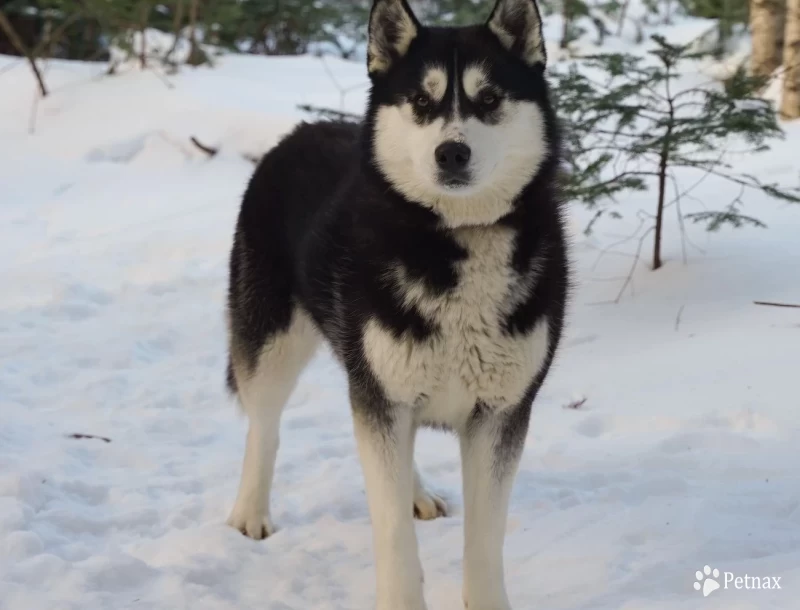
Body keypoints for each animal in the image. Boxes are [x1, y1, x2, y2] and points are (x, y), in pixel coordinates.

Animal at [225, 1, 568, 604]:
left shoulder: (499, 412)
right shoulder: (382, 393)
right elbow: (392, 536)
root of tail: (299, 131)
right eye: (422, 102)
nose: (451, 151)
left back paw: (417, 491)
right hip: (274, 342)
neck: (456, 240)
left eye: (488, 99)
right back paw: (250, 514)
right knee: (263, 425)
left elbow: (485, 541)